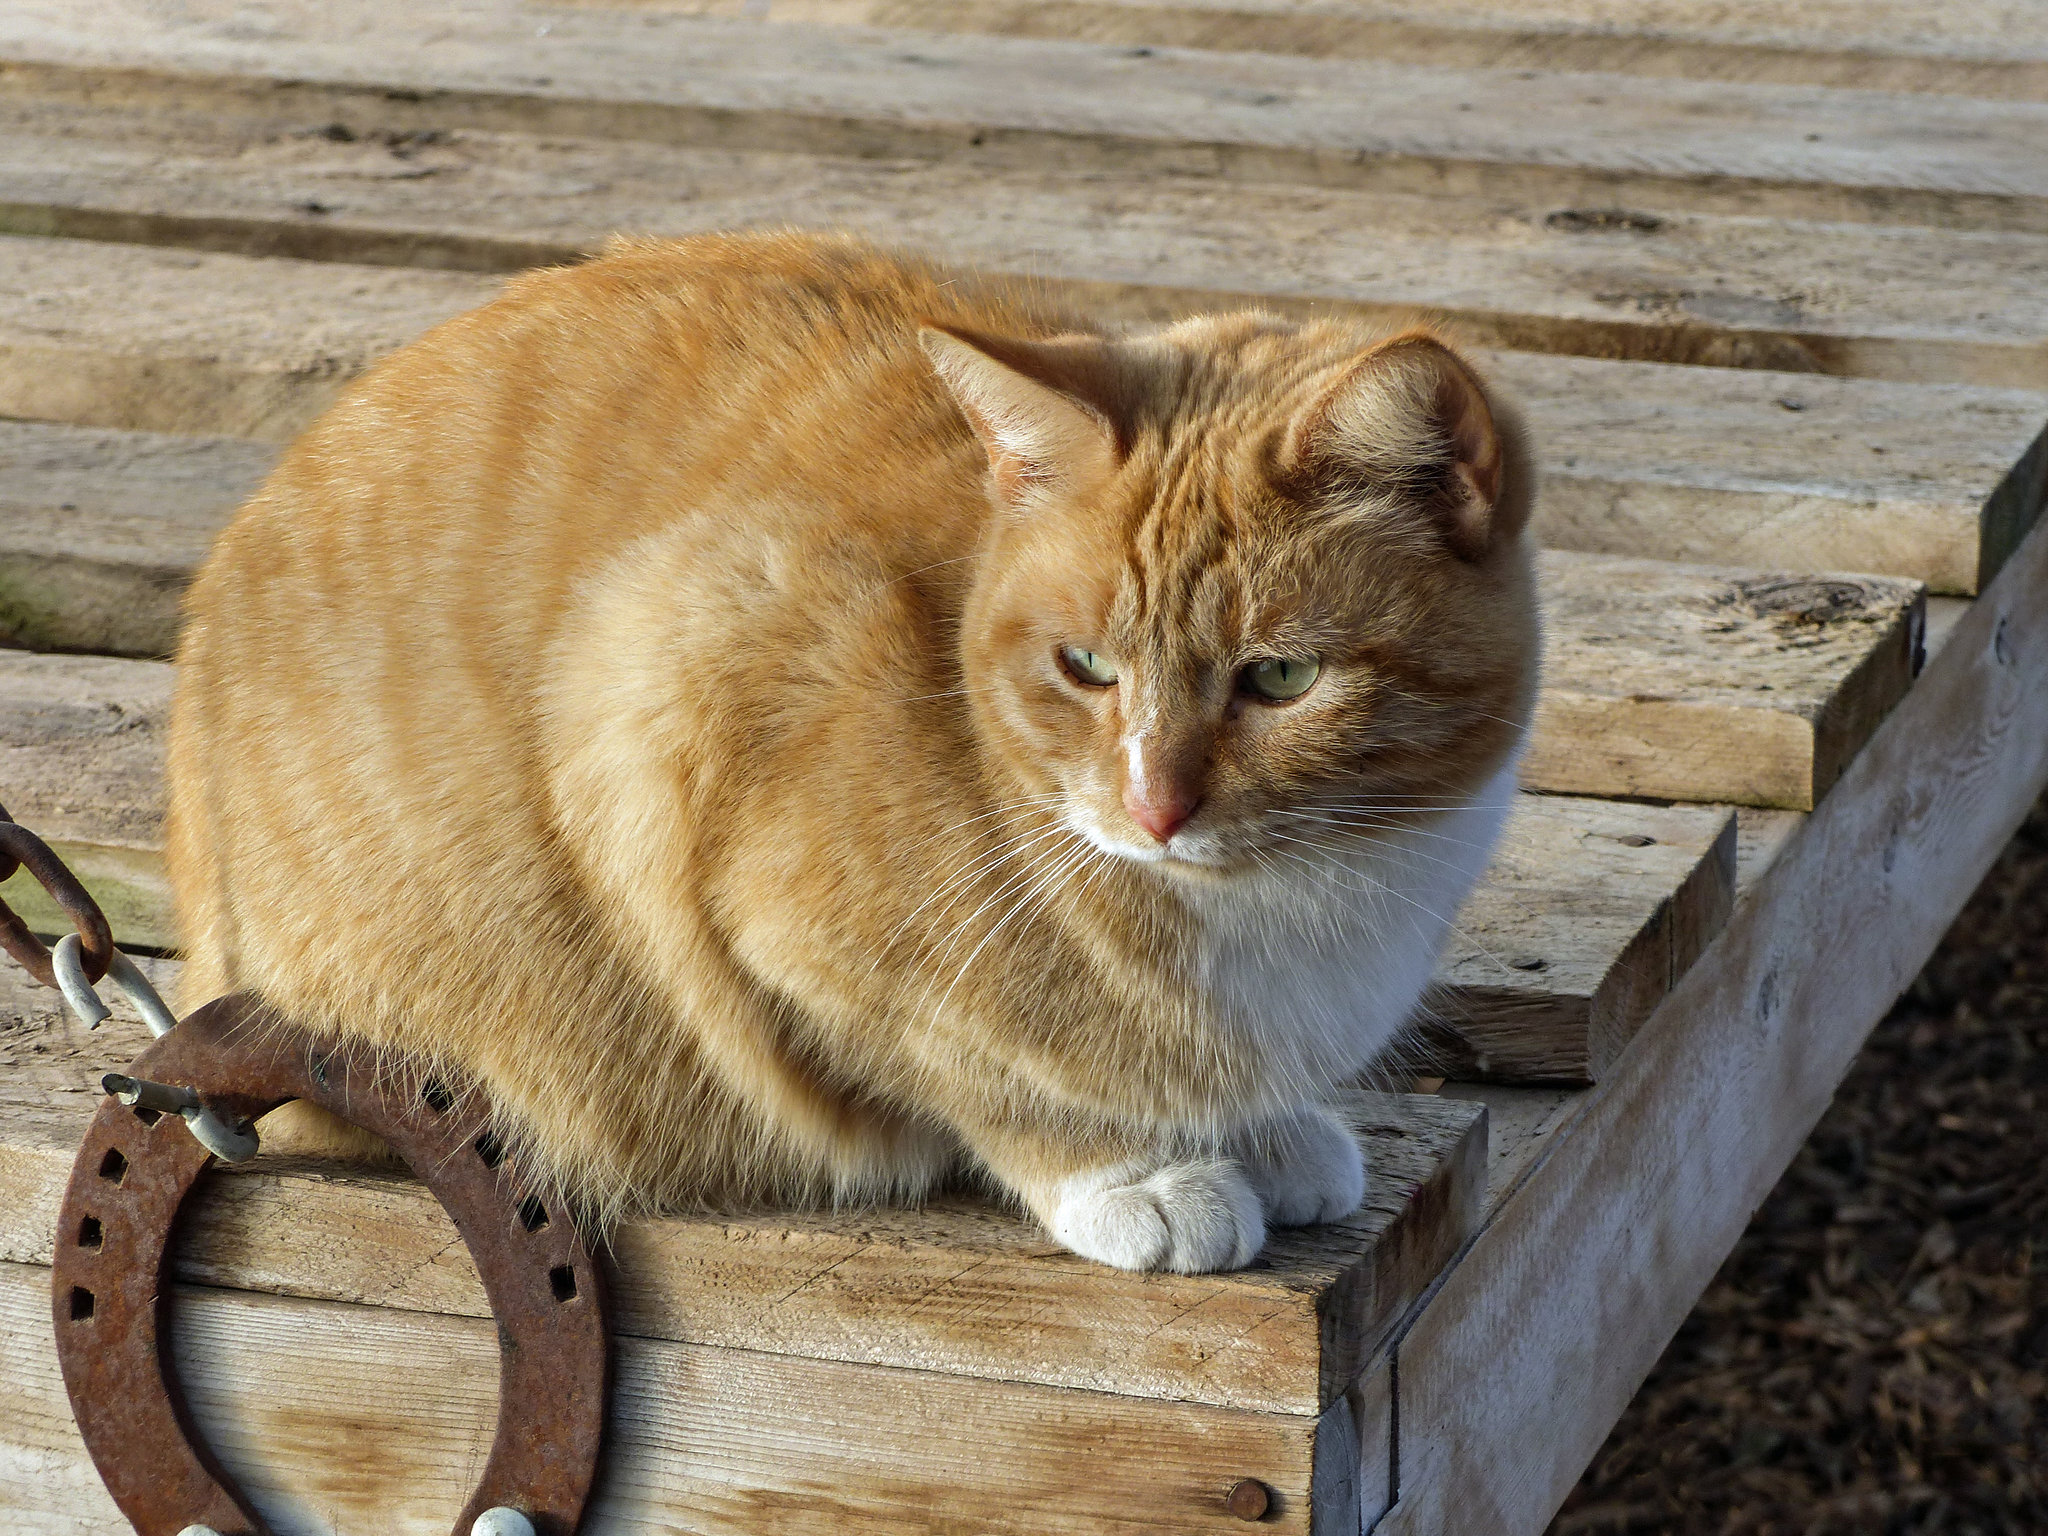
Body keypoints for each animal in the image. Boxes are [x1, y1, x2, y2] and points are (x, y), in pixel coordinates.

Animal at [163, 228, 1540, 1277]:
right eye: (1083, 668)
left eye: (1280, 679)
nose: (1153, 810)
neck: (1298, 914)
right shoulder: (699, 734)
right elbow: (978, 1080)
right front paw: (1133, 1173)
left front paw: (1262, 1127)